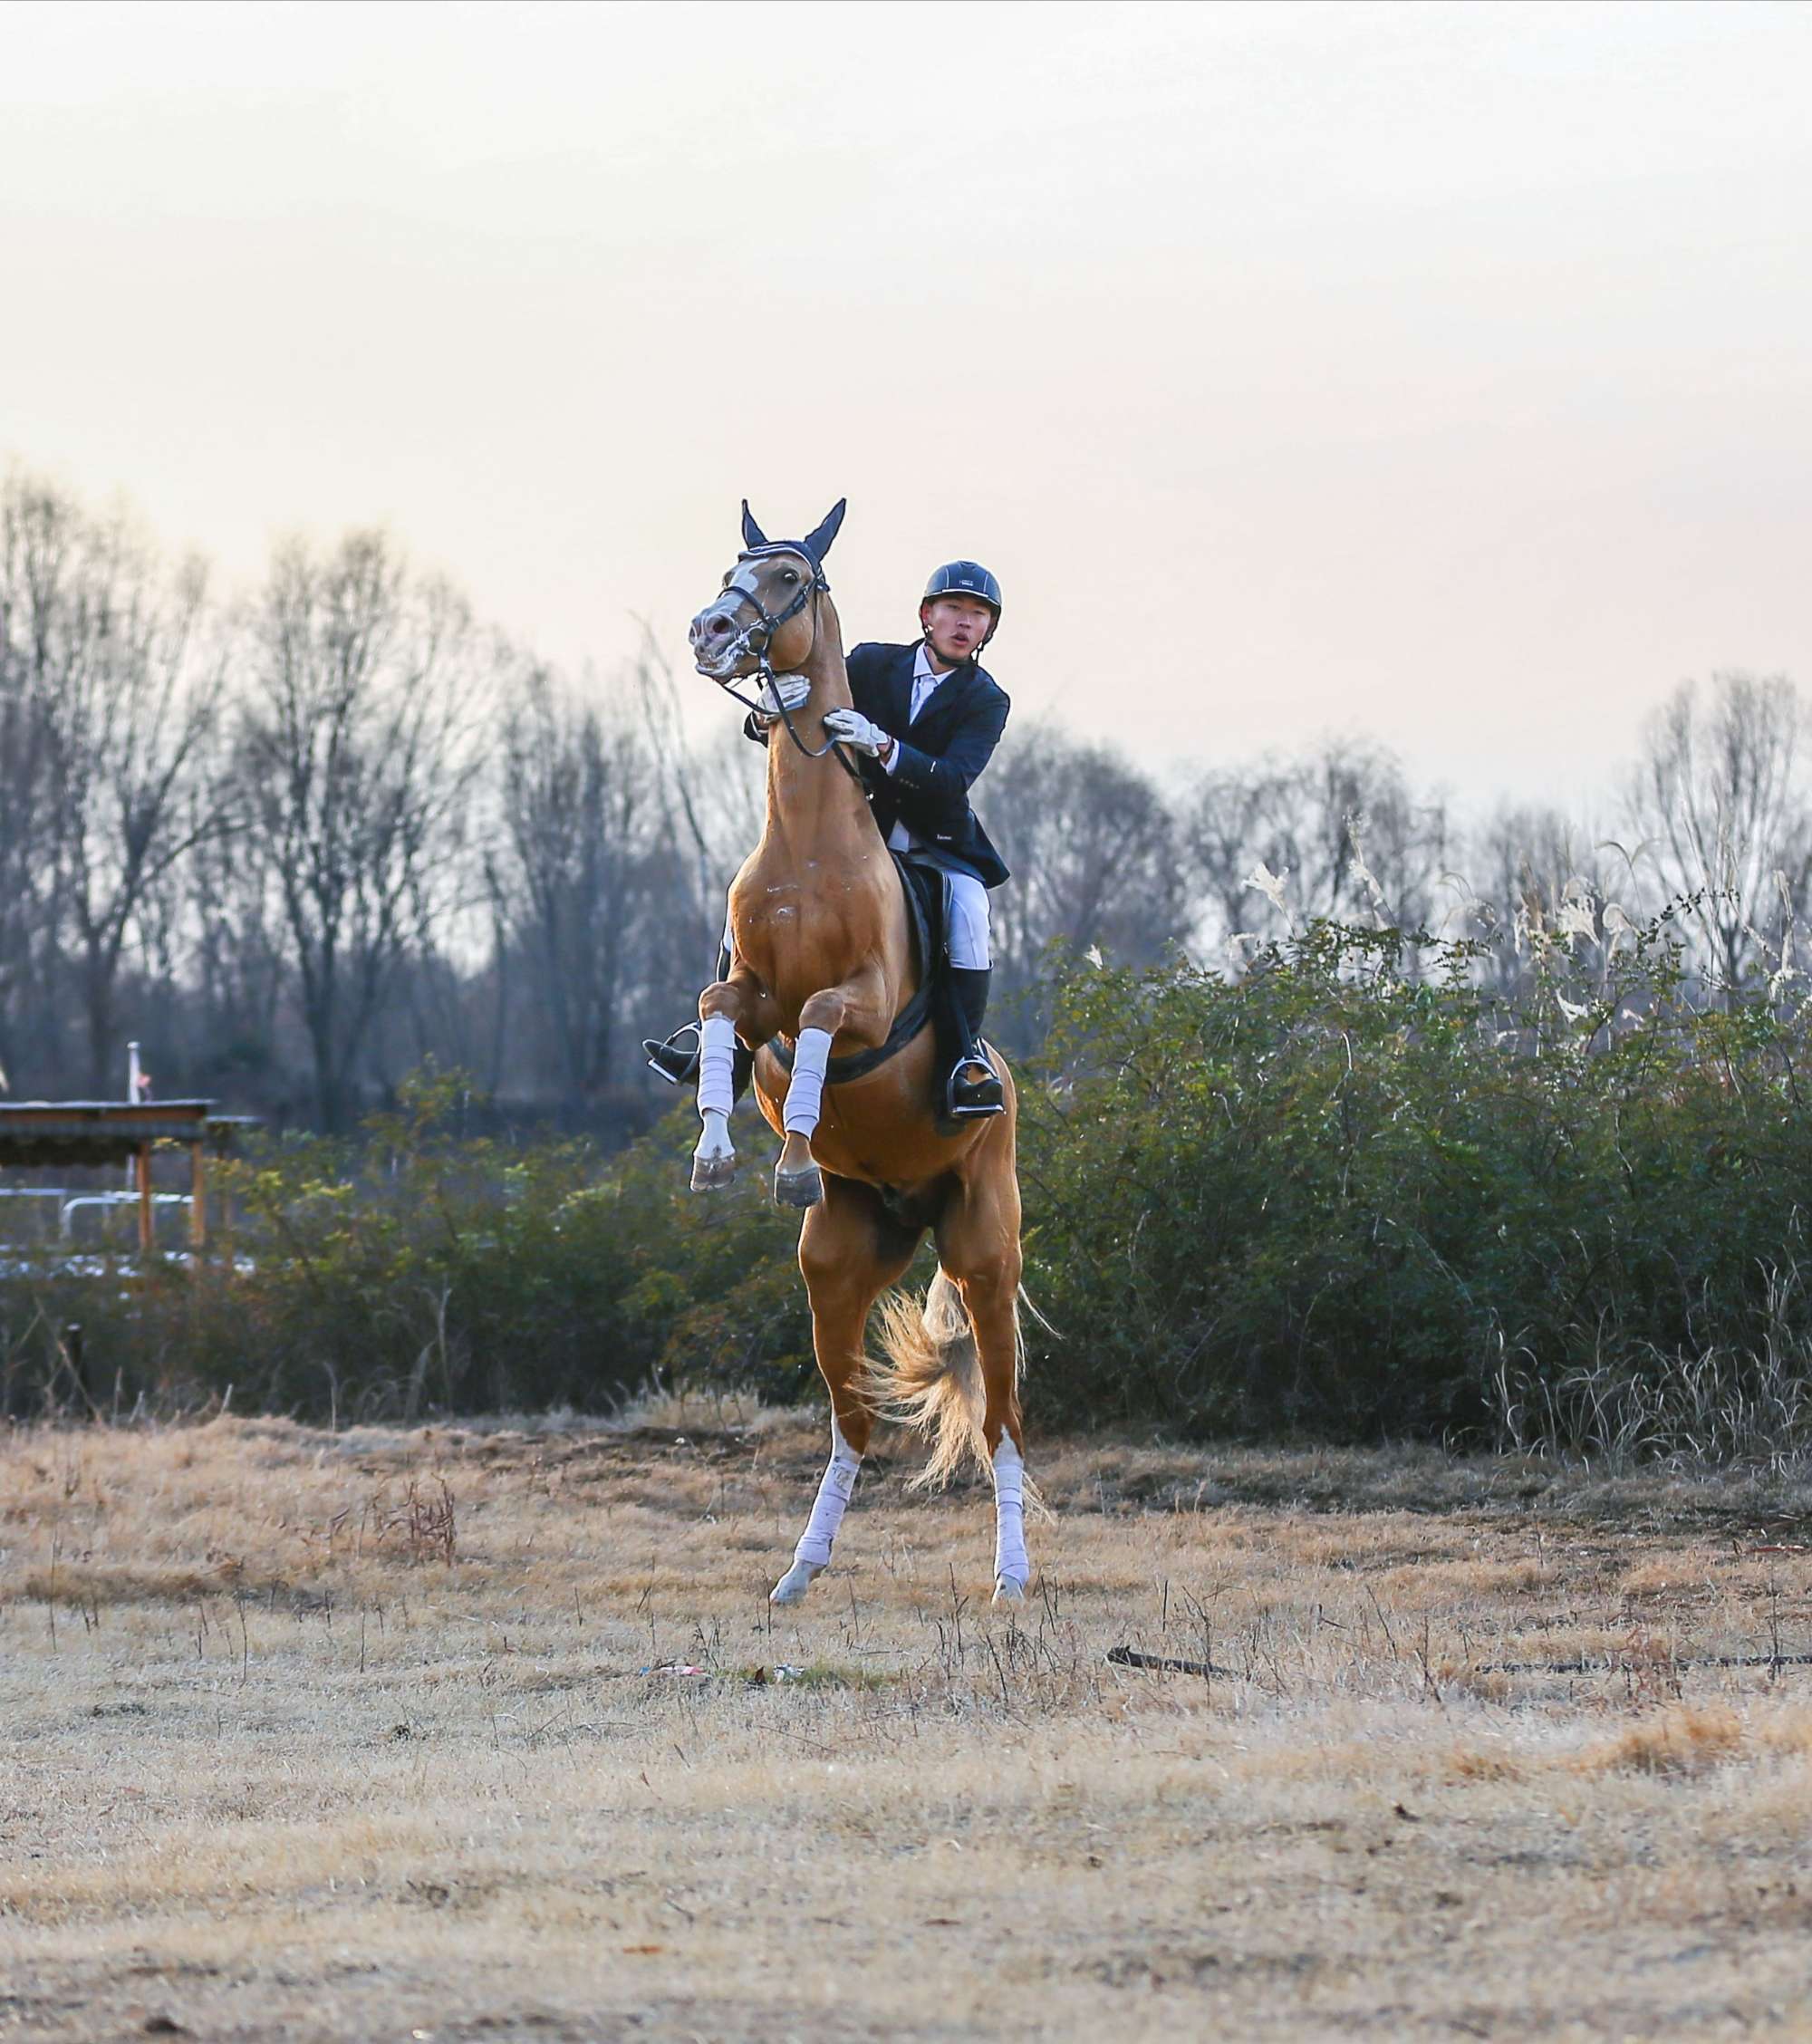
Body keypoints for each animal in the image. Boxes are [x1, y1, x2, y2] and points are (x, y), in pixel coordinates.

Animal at [682, 502, 1033, 1602]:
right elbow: (718, 1007)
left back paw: (1011, 1578)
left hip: (984, 1258)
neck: (808, 842)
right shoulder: (753, 1002)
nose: (710, 631)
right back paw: (800, 1570)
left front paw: (793, 1157)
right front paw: (714, 1151)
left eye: (789, 578)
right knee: (852, 1428)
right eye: (734, 565)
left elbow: (829, 1019)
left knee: (1002, 1423)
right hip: (834, 1269)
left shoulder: (867, 1008)